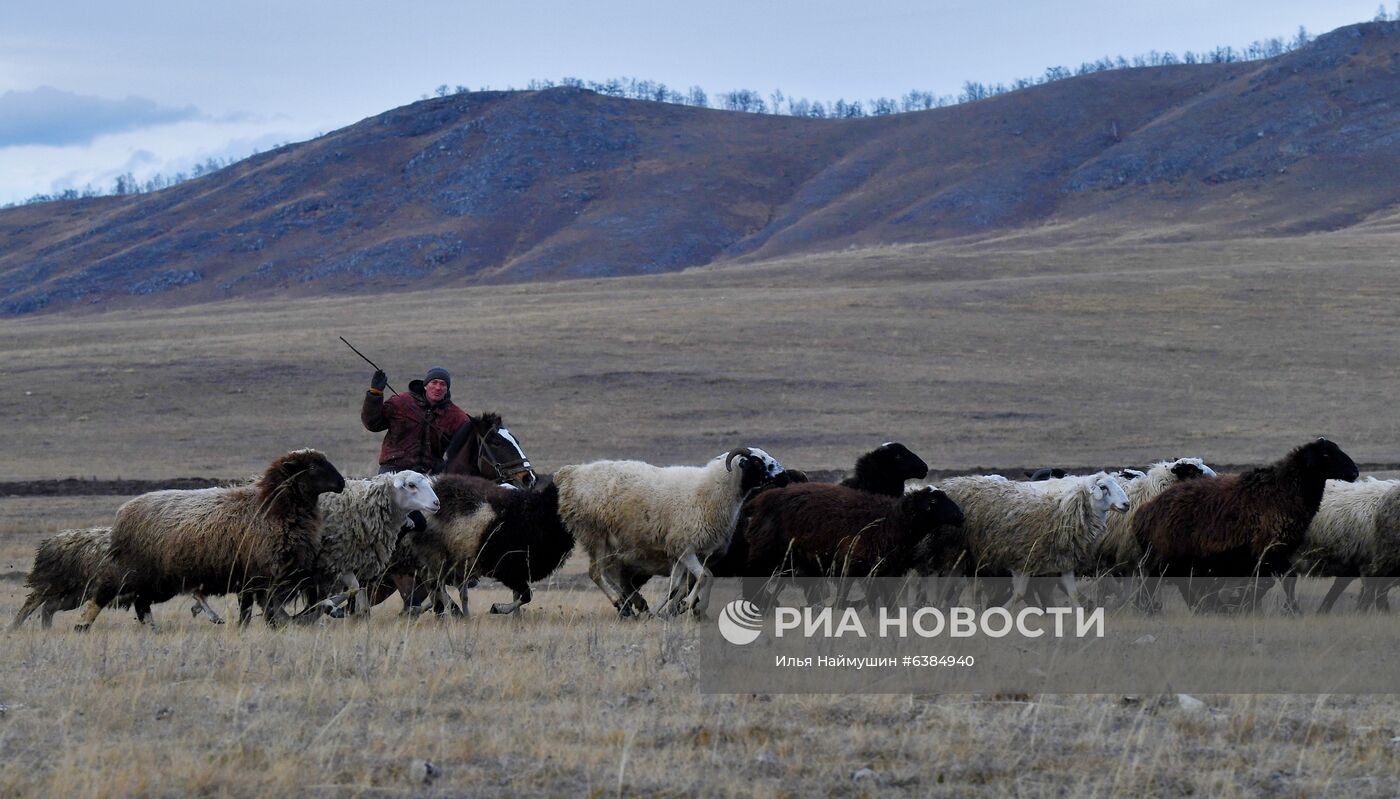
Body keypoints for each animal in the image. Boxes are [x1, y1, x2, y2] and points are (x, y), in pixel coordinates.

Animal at [71, 450, 344, 632]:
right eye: (312, 467)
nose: (341, 483)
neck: (271, 506)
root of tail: (123, 512)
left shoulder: (259, 576)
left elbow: (252, 608)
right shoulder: (258, 575)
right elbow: (260, 608)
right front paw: (257, 628)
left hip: (160, 581)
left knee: (141, 602)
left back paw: (153, 630)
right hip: (132, 571)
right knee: (104, 592)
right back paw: (82, 625)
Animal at [554, 447, 789, 615]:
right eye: (757, 461)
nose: (784, 475)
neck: (712, 491)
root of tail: (570, 473)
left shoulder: (684, 552)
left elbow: (679, 585)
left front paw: (669, 609)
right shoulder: (685, 546)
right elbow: (704, 577)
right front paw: (692, 606)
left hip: (611, 543)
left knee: (611, 574)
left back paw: (633, 604)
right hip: (595, 535)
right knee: (596, 573)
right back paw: (620, 603)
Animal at [929, 470, 1136, 607]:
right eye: (1103, 487)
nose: (1126, 504)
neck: (1063, 513)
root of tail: (952, 482)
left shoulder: (1064, 561)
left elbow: (1074, 594)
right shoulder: (1023, 560)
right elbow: (1020, 594)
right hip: (953, 551)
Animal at [1131, 436, 1360, 612]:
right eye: (1327, 455)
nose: (1356, 472)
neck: (1283, 489)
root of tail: (1145, 511)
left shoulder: (1269, 552)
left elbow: (1269, 582)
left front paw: (1243, 604)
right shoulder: (1269, 548)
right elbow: (1281, 580)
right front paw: (1289, 609)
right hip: (1166, 555)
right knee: (1153, 579)